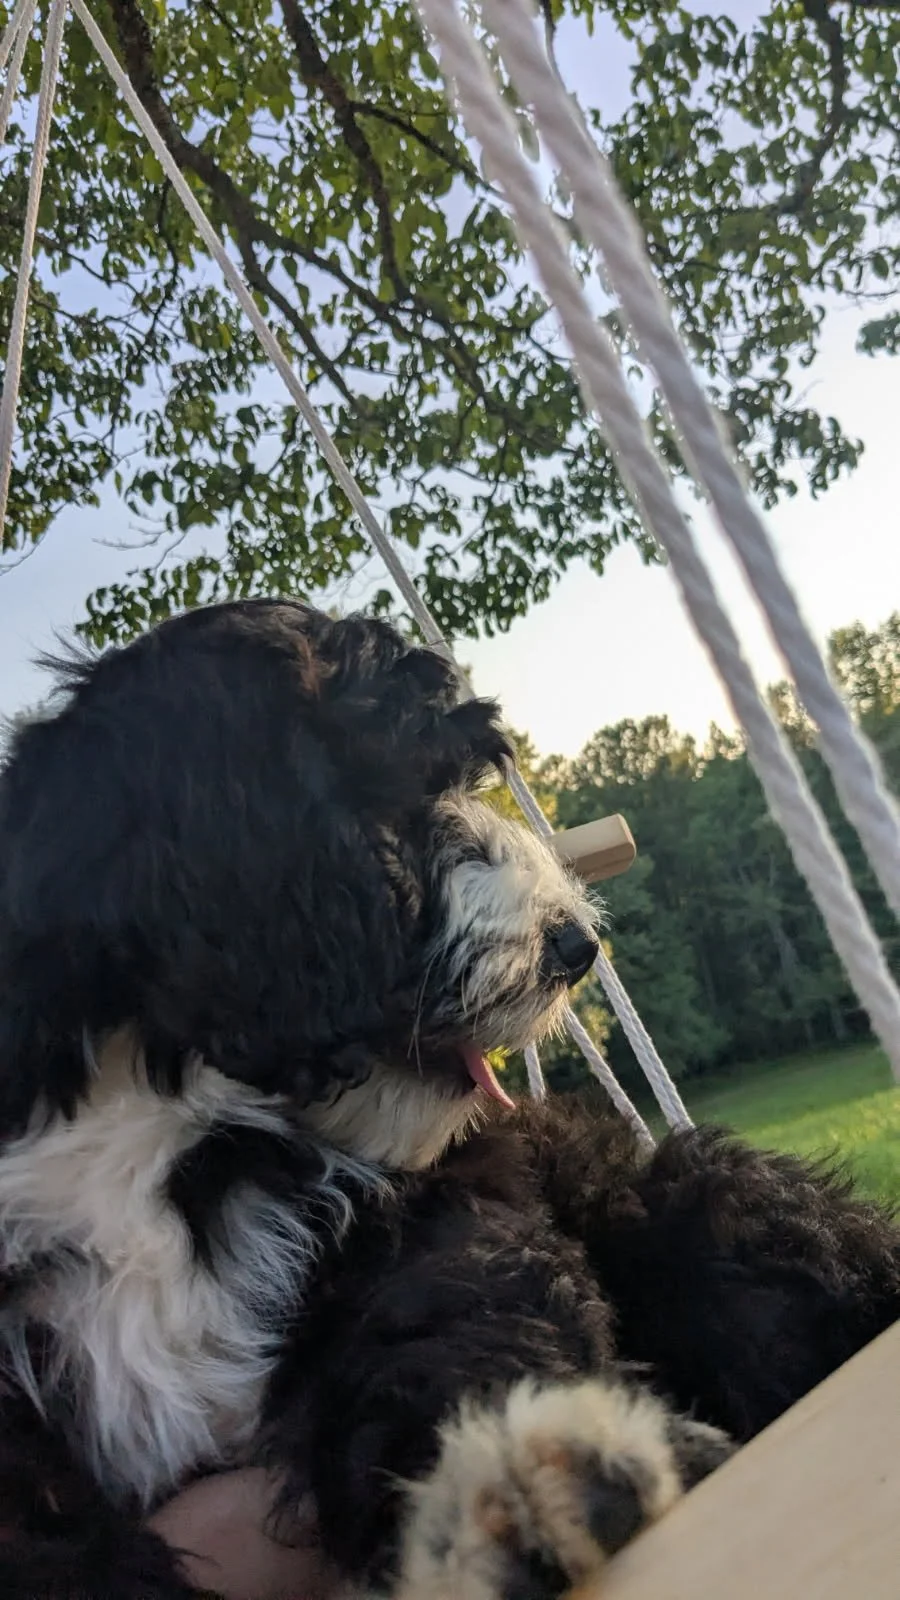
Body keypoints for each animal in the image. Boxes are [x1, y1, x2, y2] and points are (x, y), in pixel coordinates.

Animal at [0, 598, 897, 1599]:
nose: (578, 944)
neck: (154, 1131)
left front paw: (498, 1480)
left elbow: (453, 1308)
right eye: (395, 799)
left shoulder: (442, 1189)